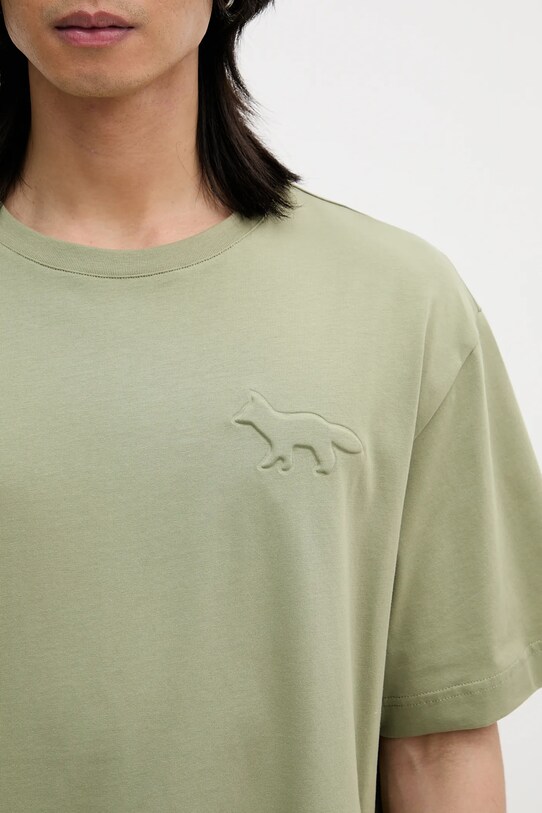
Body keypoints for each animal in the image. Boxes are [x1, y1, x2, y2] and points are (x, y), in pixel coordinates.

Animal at [232, 389, 364, 475]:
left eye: (243, 410)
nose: (235, 418)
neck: (271, 422)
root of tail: (327, 425)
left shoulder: (279, 443)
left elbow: (274, 456)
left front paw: (265, 465)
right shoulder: (285, 445)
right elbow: (286, 457)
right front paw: (285, 467)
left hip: (319, 444)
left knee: (329, 456)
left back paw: (321, 469)